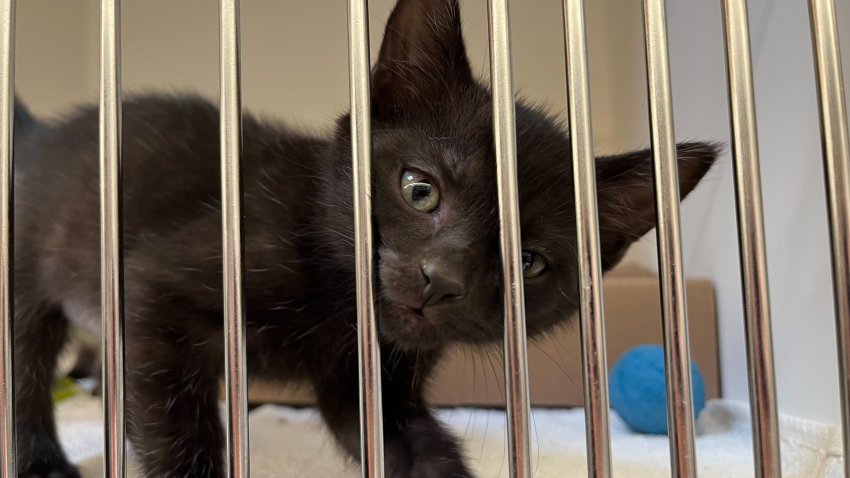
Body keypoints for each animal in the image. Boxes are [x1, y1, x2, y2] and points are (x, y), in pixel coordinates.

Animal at [13, 0, 716, 476]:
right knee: (24, 367)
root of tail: (36, 135)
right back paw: (42, 458)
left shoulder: (376, 387)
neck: (335, 306)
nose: (441, 280)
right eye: (419, 189)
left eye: (529, 260)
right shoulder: (157, 286)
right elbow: (175, 419)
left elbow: (411, 445)